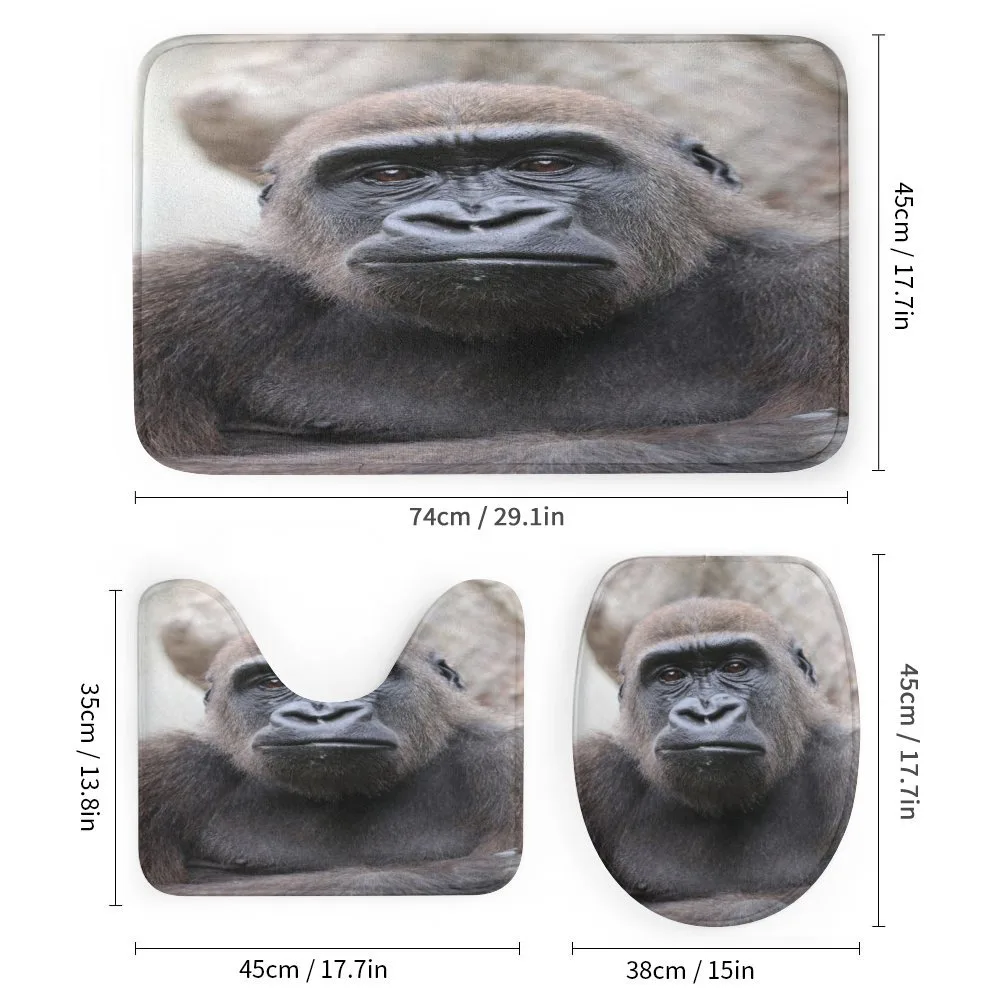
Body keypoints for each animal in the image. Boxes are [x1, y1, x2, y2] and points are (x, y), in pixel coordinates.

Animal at [134, 82, 847, 474]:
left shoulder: (820, 285)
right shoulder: (178, 300)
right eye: (390, 175)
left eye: (547, 164)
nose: (475, 220)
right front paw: (733, 446)